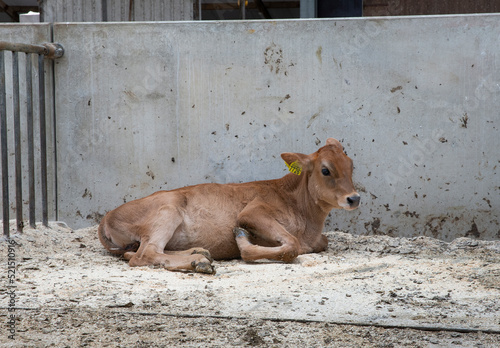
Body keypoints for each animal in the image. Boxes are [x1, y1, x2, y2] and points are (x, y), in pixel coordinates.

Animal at [97, 137, 358, 274]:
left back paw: (199, 252)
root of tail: (105, 218)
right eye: (325, 170)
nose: (354, 198)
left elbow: (319, 242)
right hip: (167, 211)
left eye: (351, 165)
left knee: (138, 252)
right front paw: (243, 243)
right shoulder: (252, 212)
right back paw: (199, 262)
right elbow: (291, 245)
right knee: (144, 255)